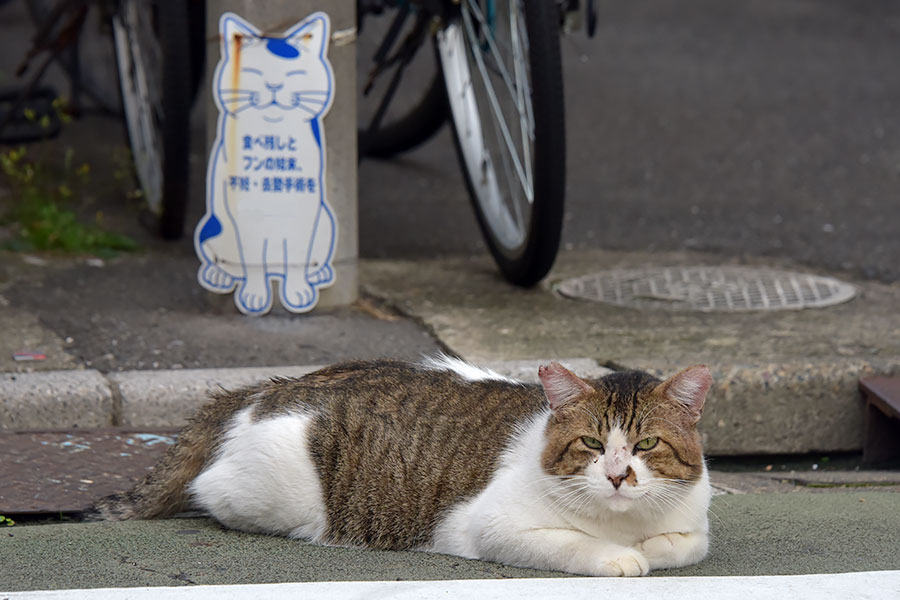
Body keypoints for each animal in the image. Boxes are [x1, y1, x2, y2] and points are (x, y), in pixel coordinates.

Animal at [88, 356, 712, 576]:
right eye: (590, 442)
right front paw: (622, 557)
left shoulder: (695, 526)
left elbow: (684, 545)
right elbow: (579, 545)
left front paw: (651, 548)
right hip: (270, 494)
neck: (622, 521)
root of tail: (270, 384)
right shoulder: (493, 525)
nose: (617, 474)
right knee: (211, 490)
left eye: (647, 444)